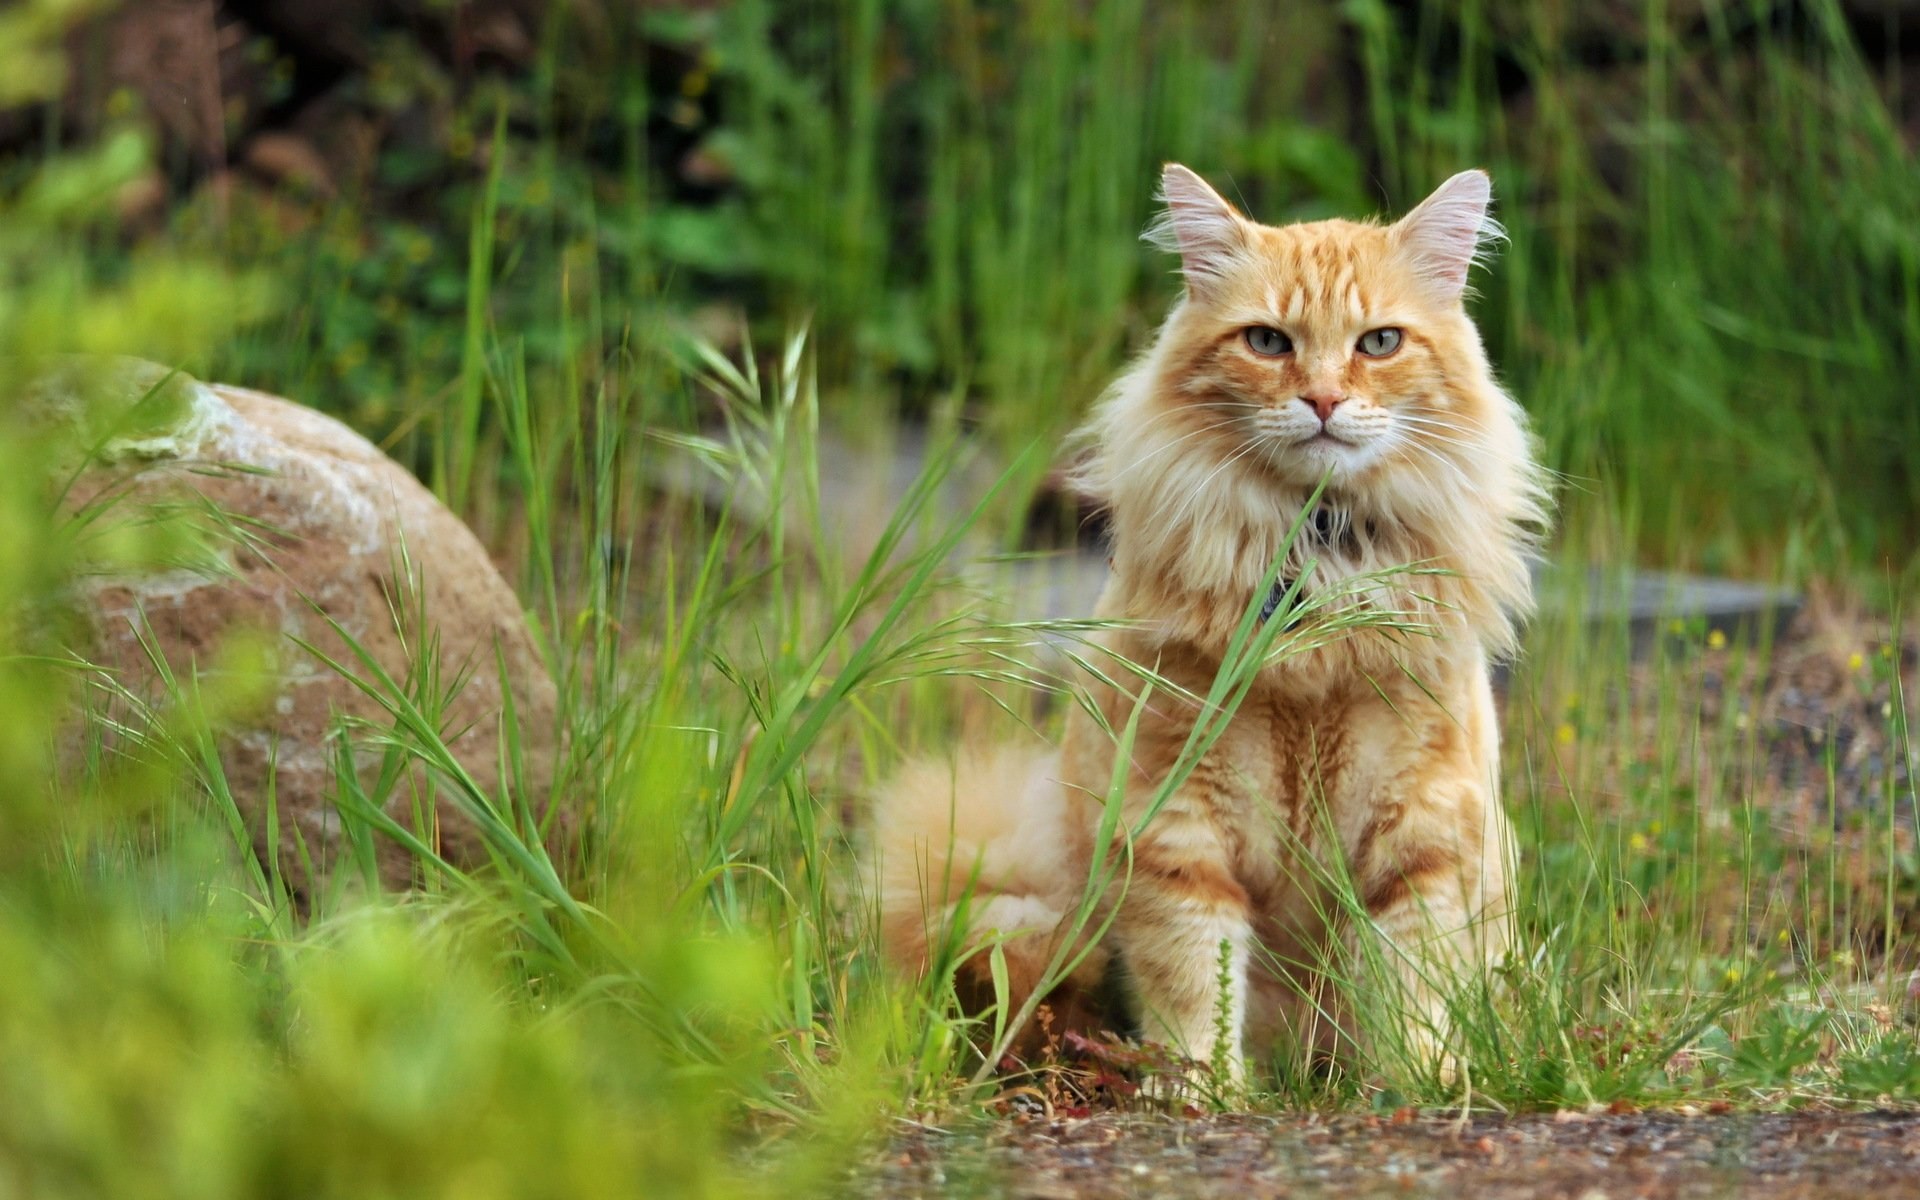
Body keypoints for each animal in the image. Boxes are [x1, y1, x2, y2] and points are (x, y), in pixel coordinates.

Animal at [879, 166, 1551, 1082]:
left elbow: (1414, 992)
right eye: (1267, 342)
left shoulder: (1422, 840)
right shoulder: (1177, 835)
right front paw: (1204, 1090)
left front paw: (1421, 1082)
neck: (1314, 567)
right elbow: (1198, 984)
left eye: (1379, 343)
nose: (1324, 398)